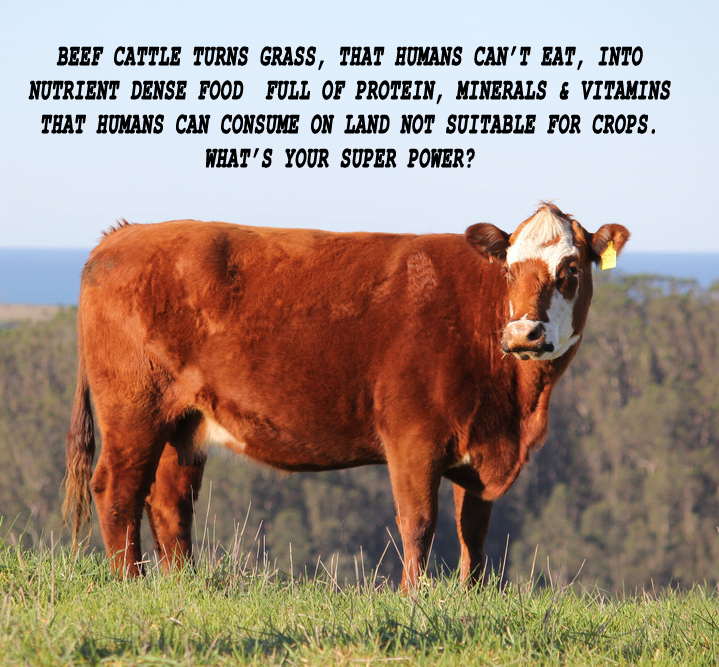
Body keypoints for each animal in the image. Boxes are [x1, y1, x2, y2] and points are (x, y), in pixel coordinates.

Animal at [63, 203, 629, 588]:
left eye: (569, 271)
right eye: (510, 269)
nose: (523, 334)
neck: (516, 406)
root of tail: (124, 234)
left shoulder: (480, 452)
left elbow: (474, 531)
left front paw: (472, 597)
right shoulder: (412, 437)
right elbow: (419, 523)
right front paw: (414, 599)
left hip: (183, 421)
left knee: (168, 499)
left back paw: (183, 585)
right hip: (133, 411)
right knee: (117, 488)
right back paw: (131, 583)